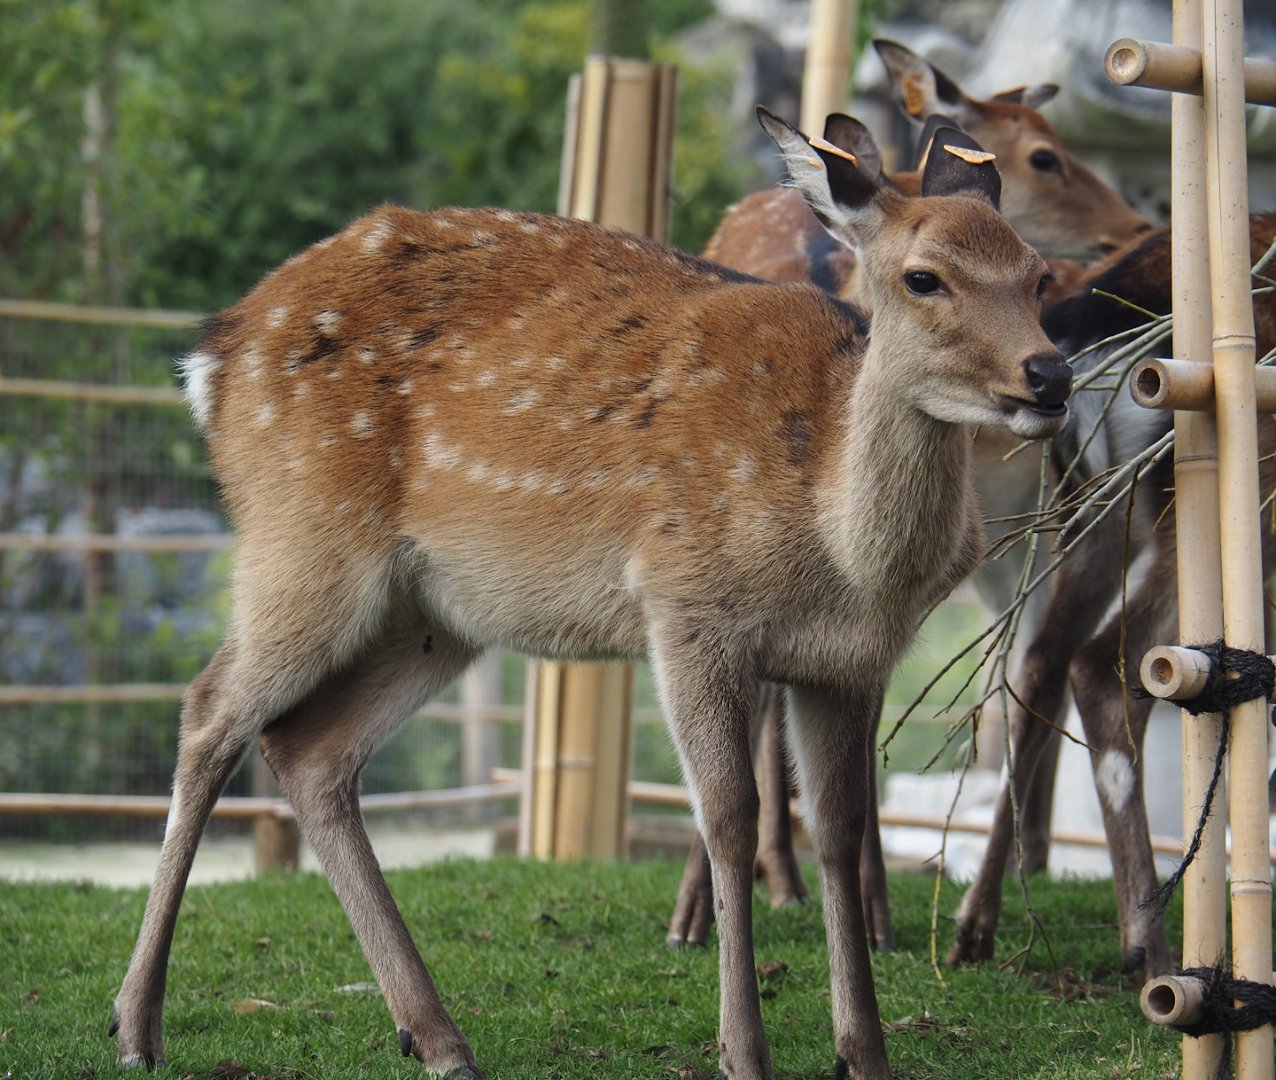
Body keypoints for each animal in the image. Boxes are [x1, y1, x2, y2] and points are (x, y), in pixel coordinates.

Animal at [108, 107, 1071, 1080]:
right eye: (924, 278)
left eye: (1039, 276)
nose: (1050, 376)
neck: (840, 546)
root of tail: (213, 355)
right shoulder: (685, 605)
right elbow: (731, 815)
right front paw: (743, 1051)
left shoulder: (849, 662)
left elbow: (837, 827)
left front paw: (863, 1053)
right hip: (304, 536)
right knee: (209, 711)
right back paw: (136, 1024)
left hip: (436, 613)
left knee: (309, 750)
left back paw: (437, 1035)